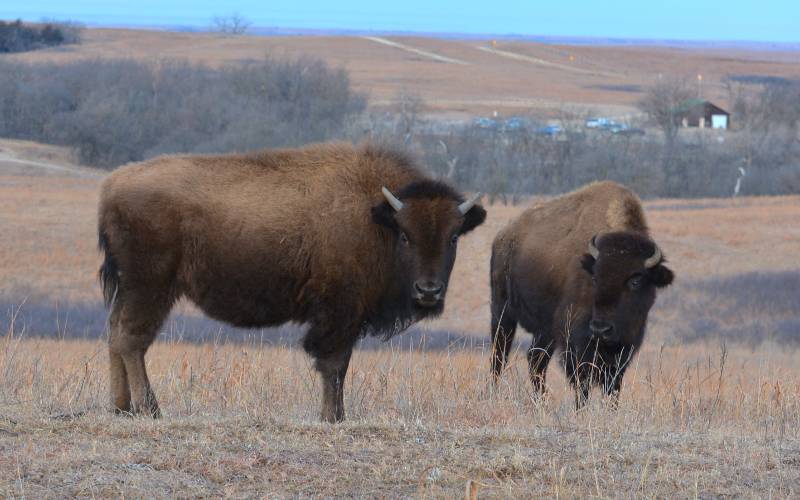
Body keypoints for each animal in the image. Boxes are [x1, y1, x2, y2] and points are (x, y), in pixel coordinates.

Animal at [100, 142, 488, 422]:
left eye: (454, 237)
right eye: (406, 236)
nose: (428, 290)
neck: (377, 217)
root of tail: (113, 185)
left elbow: (340, 365)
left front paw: (337, 414)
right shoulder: (339, 313)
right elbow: (334, 364)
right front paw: (332, 417)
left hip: (133, 289)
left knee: (116, 334)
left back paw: (121, 407)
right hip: (150, 286)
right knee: (132, 339)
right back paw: (150, 409)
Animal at [490, 182, 672, 408]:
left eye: (635, 281)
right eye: (595, 277)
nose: (601, 329)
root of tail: (503, 236)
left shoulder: (624, 347)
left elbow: (613, 385)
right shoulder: (575, 342)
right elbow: (582, 383)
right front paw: (580, 410)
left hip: (545, 330)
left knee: (535, 360)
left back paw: (543, 402)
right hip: (502, 312)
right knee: (499, 355)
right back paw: (492, 394)